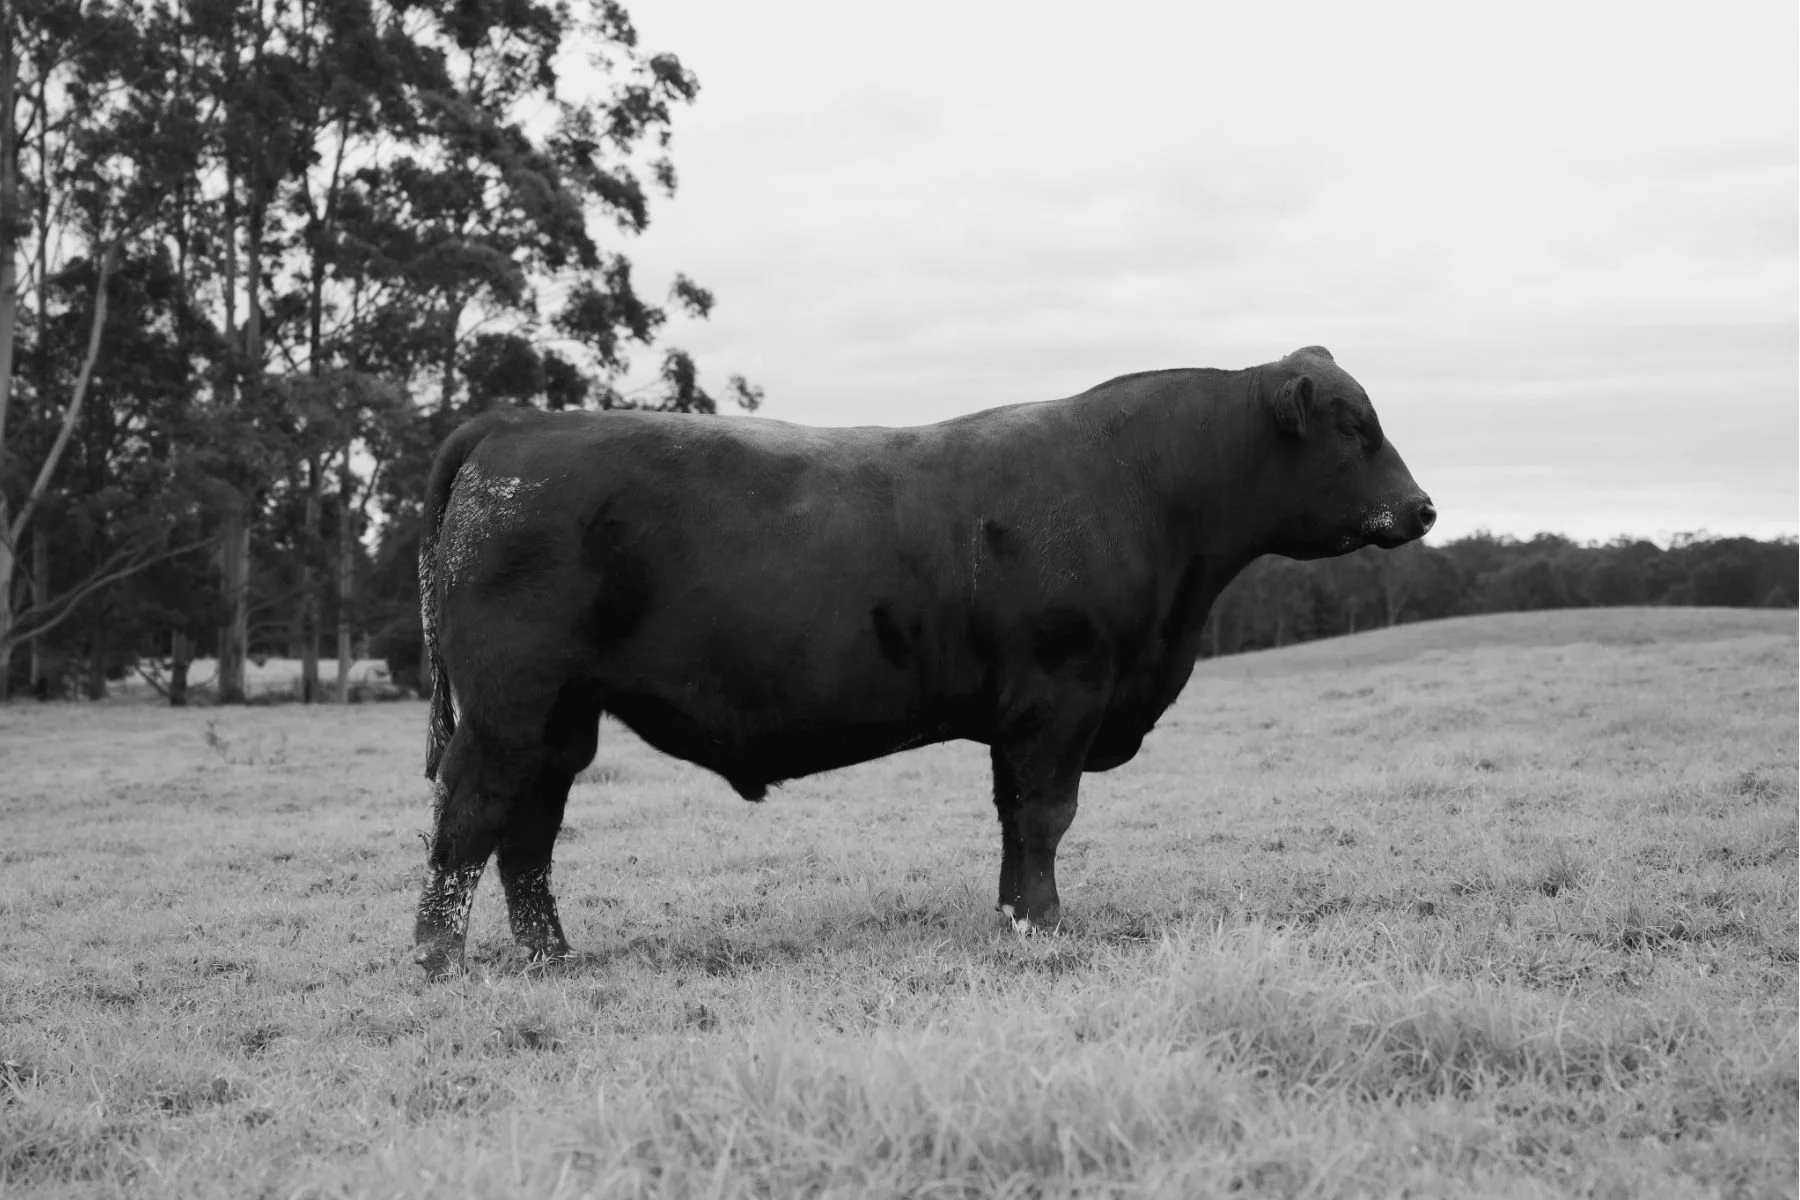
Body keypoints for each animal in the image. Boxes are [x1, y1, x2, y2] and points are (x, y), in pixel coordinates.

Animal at [411, 345, 1434, 979]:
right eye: (1354, 427)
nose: (1424, 508)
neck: (1145, 489)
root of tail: (516, 425)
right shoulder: (1060, 695)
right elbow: (1047, 815)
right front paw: (1046, 929)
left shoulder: (1022, 714)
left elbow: (1014, 820)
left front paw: (1014, 917)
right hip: (507, 709)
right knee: (468, 823)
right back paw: (437, 964)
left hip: (560, 720)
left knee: (529, 833)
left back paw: (552, 958)